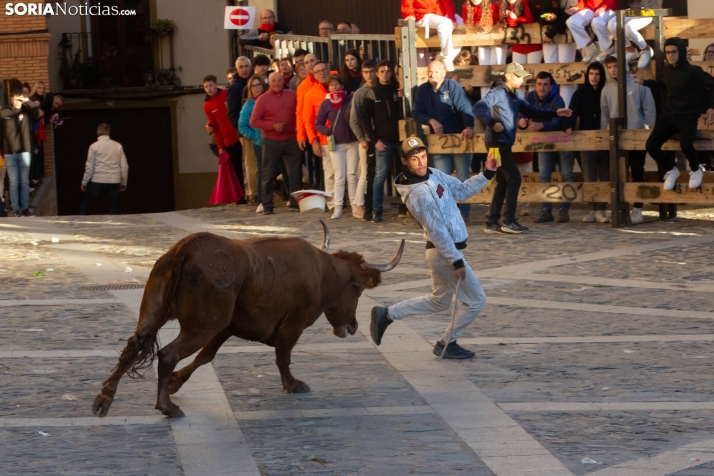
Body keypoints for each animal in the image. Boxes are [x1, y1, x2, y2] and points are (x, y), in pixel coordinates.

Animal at [91, 219, 400, 416]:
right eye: (358, 288)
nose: (353, 326)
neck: (321, 272)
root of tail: (189, 245)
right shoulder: (292, 326)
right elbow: (283, 358)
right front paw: (293, 384)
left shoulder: (229, 326)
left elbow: (206, 356)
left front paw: (177, 382)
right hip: (202, 325)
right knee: (167, 354)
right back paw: (167, 407)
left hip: (155, 311)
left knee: (133, 346)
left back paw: (104, 399)